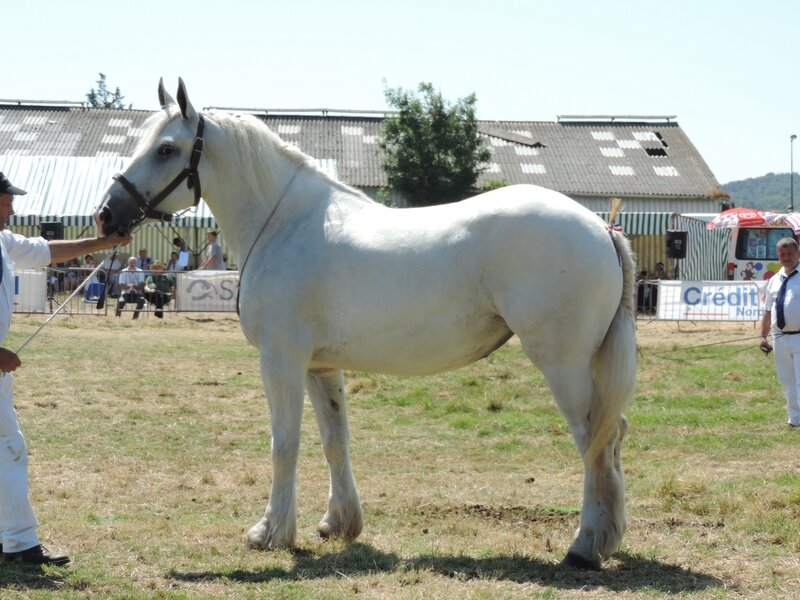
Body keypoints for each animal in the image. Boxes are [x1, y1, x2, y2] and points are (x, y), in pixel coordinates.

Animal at [95, 79, 636, 572]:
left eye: (167, 148)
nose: (106, 215)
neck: (284, 224)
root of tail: (601, 227)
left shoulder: (280, 359)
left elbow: (284, 443)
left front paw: (271, 532)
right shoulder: (320, 367)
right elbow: (335, 441)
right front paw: (339, 523)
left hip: (563, 365)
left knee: (595, 441)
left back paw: (584, 547)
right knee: (612, 439)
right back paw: (605, 539)